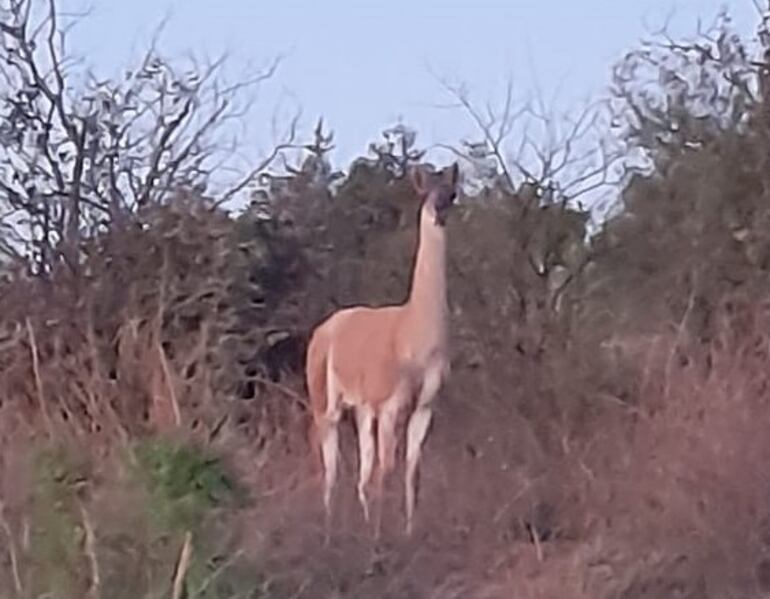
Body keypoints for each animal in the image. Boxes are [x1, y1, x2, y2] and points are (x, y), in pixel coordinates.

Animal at [304, 162, 460, 540]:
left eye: (452, 193)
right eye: (424, 191)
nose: (439, 211)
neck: (414, 339)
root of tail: (321, 331)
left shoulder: (424, 406)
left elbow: (410, 470)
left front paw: (407, 532)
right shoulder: (391, 404)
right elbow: (385, 469)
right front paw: (379, 537)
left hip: (361, 409)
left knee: (361, 465)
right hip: (324, 398)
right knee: (329, 460)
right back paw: (328, 528)